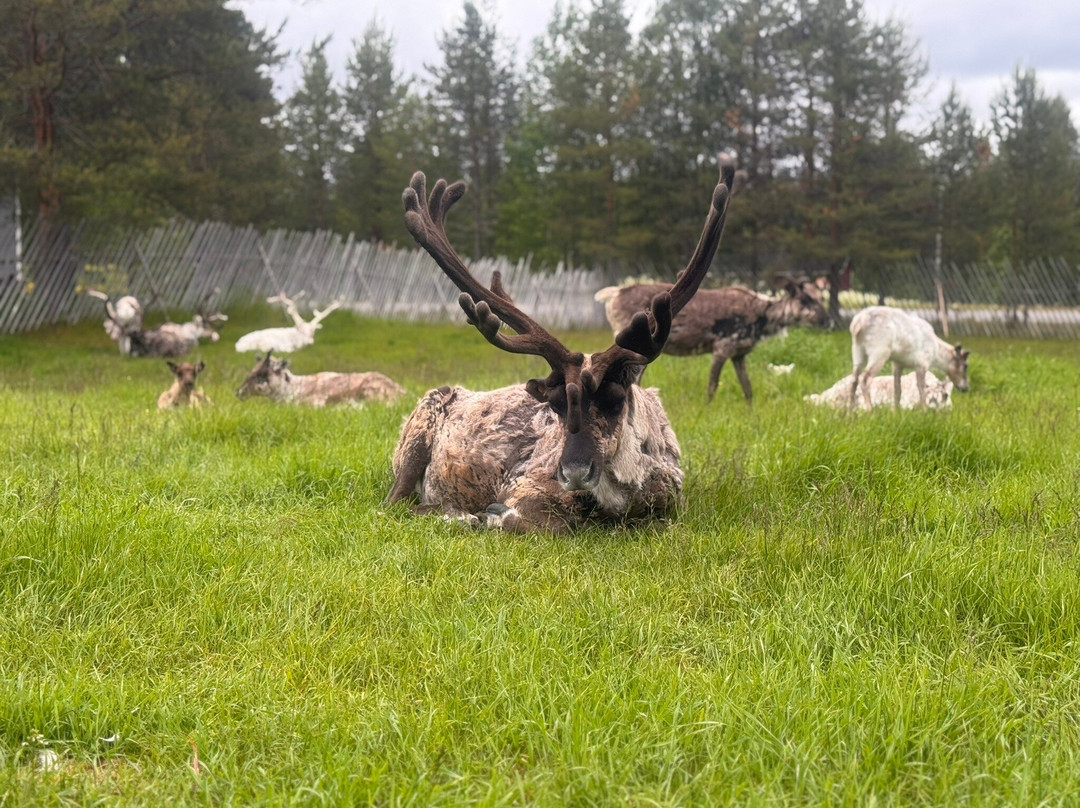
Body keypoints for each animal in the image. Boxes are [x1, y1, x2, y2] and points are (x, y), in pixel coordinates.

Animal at [388, 160, 735, 532]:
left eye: (615, 399)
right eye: (555, 406)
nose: (574, 473)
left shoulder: (671, 505)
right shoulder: (524, 483)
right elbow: (545, 523)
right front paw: (492, 514)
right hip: (414, 442)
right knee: (395, 505)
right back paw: (460, 514)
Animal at [595, 276, 829, 403]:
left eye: (820, 297)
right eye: (804, 299)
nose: (827, 320)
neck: (761, 321)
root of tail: (613, 294)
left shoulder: (739, 354)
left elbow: (748, 388)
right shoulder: (722, 347)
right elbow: (712, 386)